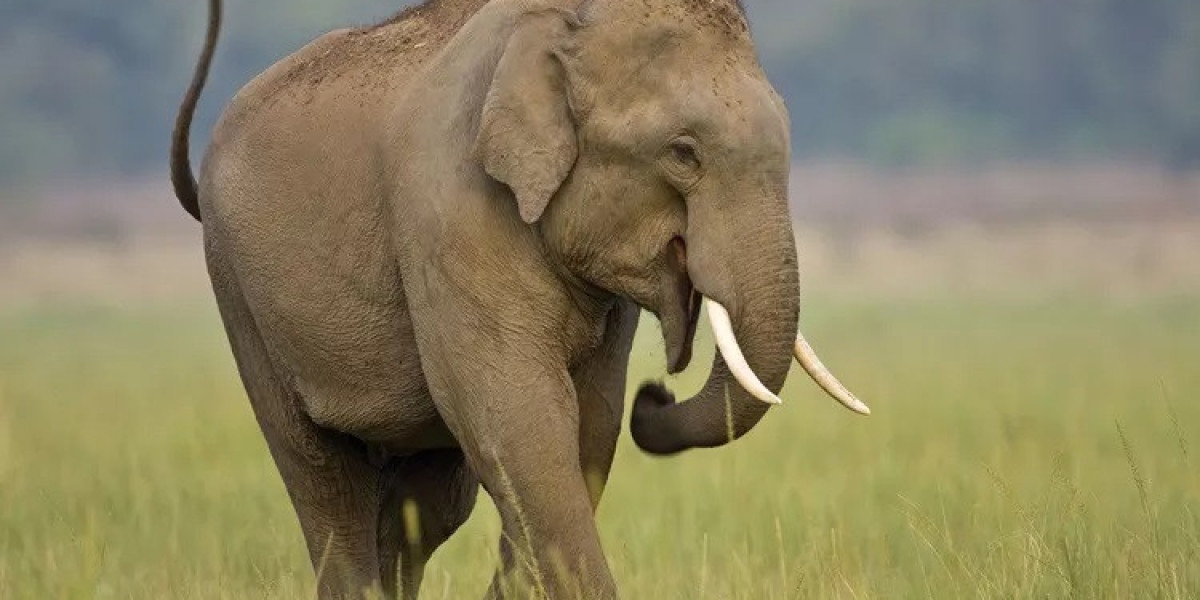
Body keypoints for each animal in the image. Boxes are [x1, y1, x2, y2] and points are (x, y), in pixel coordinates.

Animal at [169, 0, 870, 598]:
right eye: (683, 153)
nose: (656, 395)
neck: (564, 27)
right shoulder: (453, 215)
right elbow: (523, 423)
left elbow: (588, 429)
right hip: (238, 292)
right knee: (324, 480)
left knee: (426, 505)